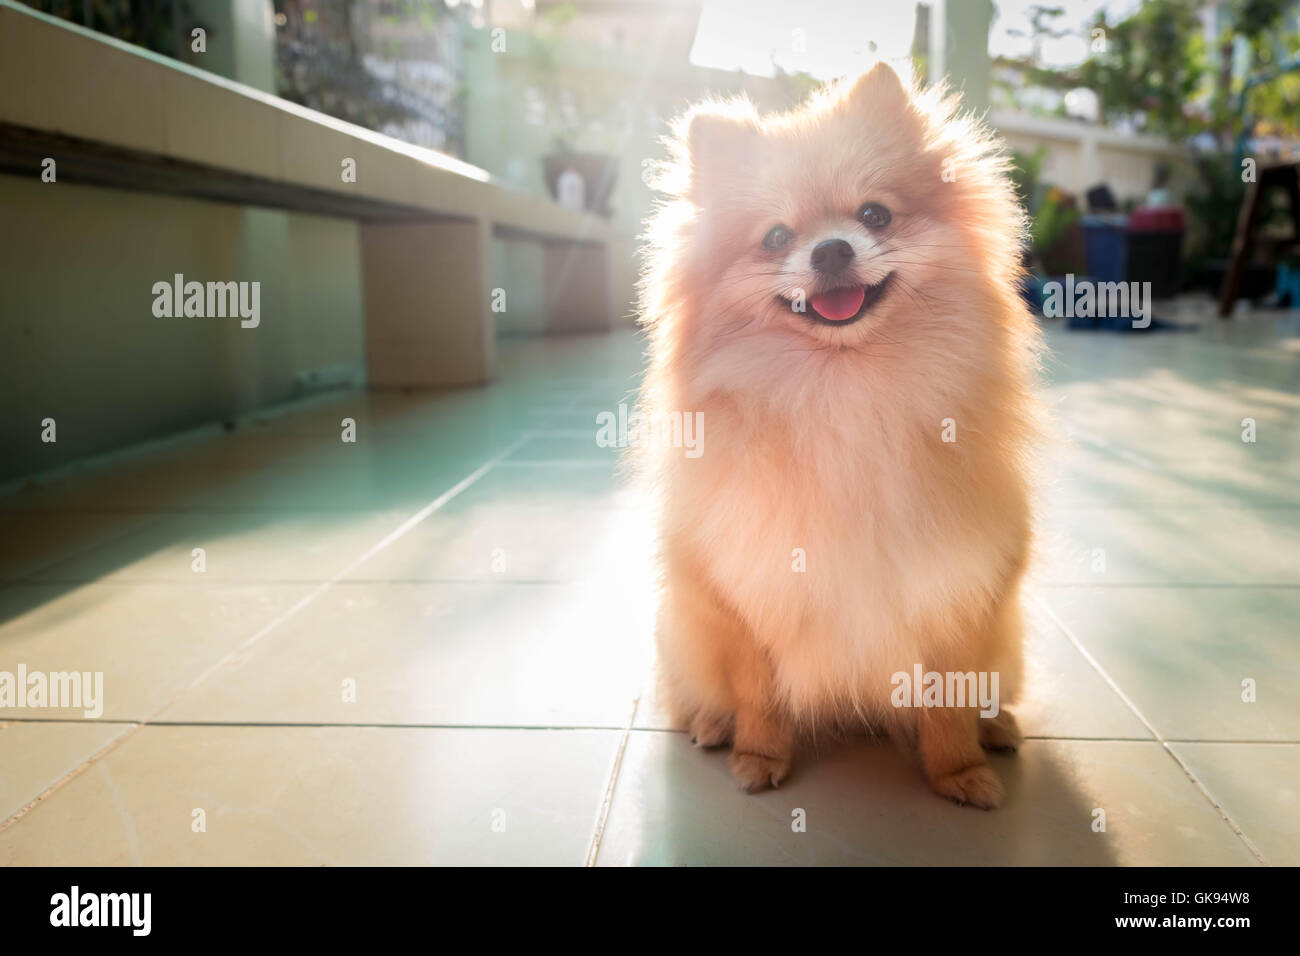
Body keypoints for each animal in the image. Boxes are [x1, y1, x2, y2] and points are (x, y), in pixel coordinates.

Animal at [634, 61, 1040, 806]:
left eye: (874, 214)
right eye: (775, 237)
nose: (830, 248)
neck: (845, 391)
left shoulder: (960, 588)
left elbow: (949, 702)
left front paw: (959, 770)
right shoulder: (742, 591)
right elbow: (758, 691)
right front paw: (759, 757)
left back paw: (996, 728)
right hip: (683, 626)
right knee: (698, 691)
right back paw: (714, 725)